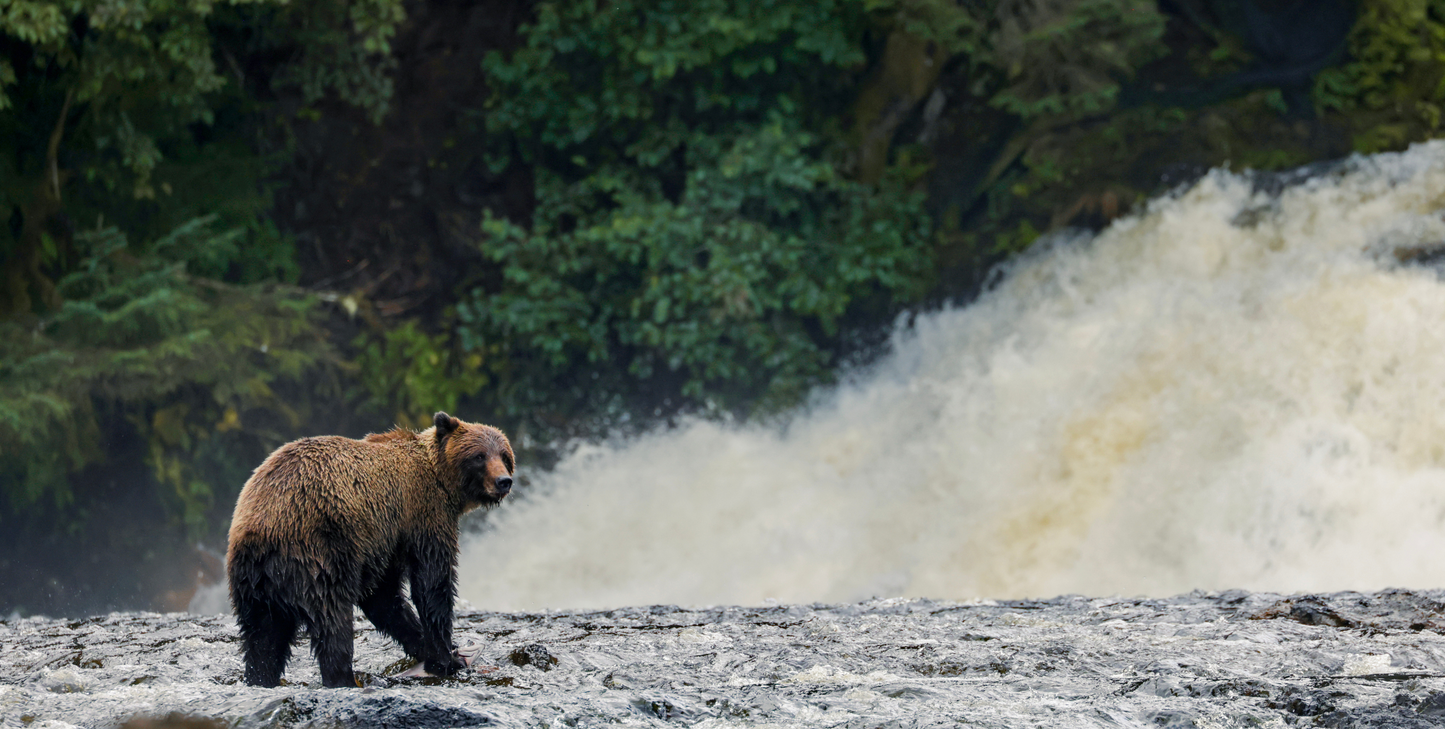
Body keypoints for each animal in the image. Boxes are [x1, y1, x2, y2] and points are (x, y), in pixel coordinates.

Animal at [225, 413, 514, 685]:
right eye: (479, 456)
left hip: (254, 584)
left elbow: (384, 598)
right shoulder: (423, 514)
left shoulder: (384, 543)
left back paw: (260, 678)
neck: (442, 481)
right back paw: (343, 679)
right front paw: (446, 657)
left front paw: (428, 648)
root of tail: (262, 534)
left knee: (263, 639)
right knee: (332, 623)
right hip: (318, 553)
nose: (504, 481)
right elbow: (431, 583)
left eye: (504, 454)